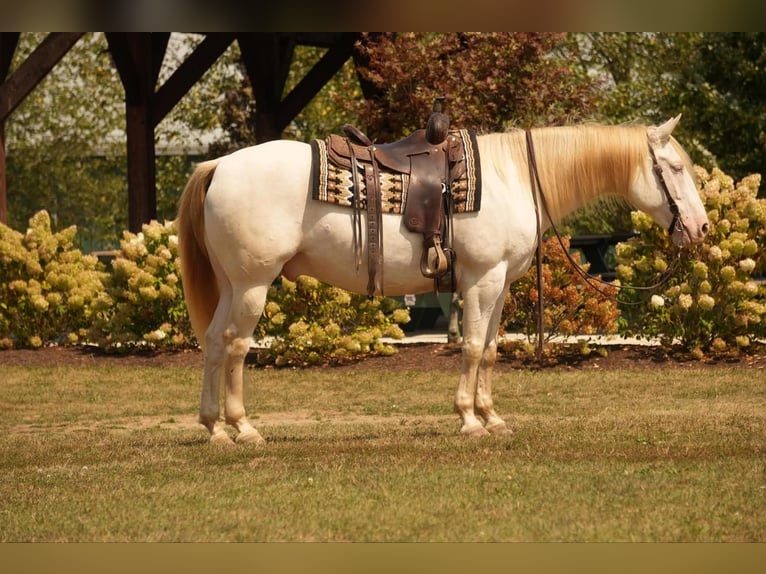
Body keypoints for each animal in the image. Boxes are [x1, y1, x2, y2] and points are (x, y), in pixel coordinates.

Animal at [177, 116, 712, 446]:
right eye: (675, 167)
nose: (702, 228)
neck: (513, 176)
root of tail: (219, 164)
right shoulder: (481, 280)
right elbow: (472, 347)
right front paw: (469, 420)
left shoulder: (501, 283)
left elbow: (491, 349)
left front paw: (493, 418)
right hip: (253, 283)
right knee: (236, 344)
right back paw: (243, 428)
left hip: (231, 284)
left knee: (213, 342)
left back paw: (214, 429)